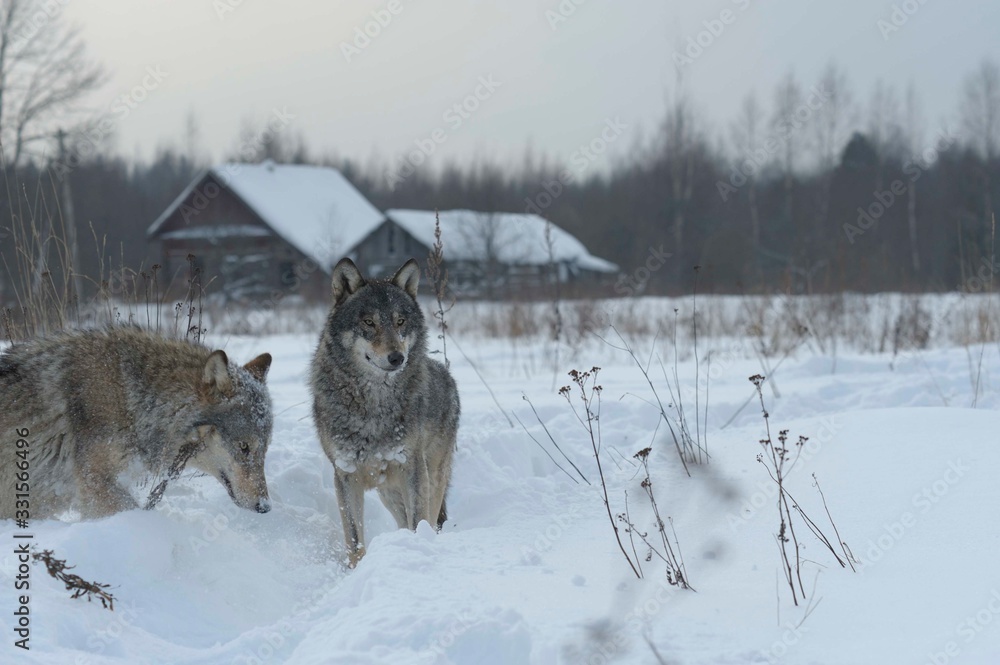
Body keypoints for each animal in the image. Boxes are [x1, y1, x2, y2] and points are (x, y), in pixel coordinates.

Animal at [311, 258, 460, 567]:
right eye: (369, 322)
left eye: (400, 322)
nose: (397, 358)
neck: (373, 405)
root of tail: (449, 378)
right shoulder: (345, 474)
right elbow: (354, 539)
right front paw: (356, 570)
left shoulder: (413, 469)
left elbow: (419, 522)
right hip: (388, 492)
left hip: (431, 477)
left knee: (430, 519)